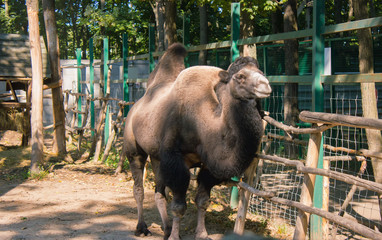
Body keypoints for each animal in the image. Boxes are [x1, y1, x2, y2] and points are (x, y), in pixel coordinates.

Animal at [120, 43, 272, 240]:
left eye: (261, 71)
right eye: (240, 77)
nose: (265, 85)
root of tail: (137, 105)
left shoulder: (208, 165)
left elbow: (202, 201)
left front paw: (201, 233)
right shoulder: (175, 160)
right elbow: (179, 206)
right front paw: (175, 236)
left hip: (157, 156)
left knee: (159, 192)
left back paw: (166, 228)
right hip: (133, 146)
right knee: (138, 187)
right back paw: (142, 227)